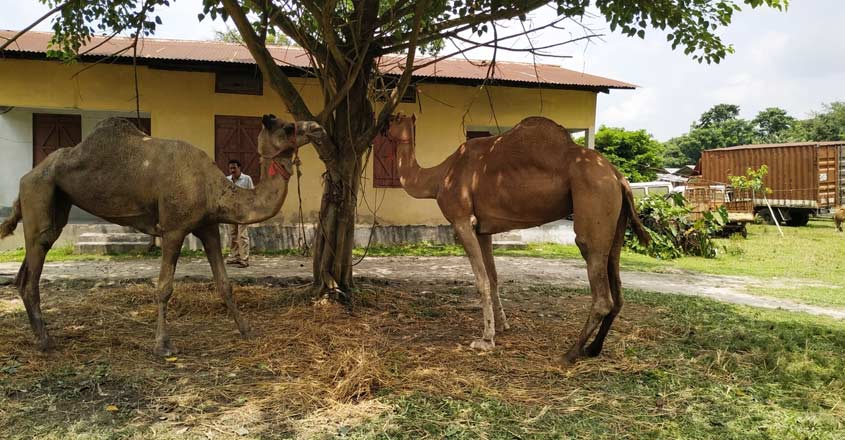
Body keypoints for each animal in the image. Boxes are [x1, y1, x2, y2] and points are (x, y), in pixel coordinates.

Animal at [0, 115, 325, 356]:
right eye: (288, 126)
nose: (318, 127)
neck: (214, 188)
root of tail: (27, 176)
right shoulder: (173, 229)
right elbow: (164, 287)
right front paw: (163, 345)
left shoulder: (208, 227)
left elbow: (225, 284)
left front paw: (247, 330)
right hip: (40, 193)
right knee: (34, 266)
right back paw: (45, 342)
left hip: (56, 201)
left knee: (27, 268)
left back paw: (39, 335)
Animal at [386, 114, 650, 363]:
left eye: (392, 120)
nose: (382, 128)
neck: (441, 176)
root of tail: (618, 176)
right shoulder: (482, 229)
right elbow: (492, 278)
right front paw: (502, 325)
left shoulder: (462, 220)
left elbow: (481, 280)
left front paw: (485, 340)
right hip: (616, 224)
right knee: (617, 286)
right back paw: (593, 349)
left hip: (594, 200)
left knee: (601, 290)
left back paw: (569, 354)